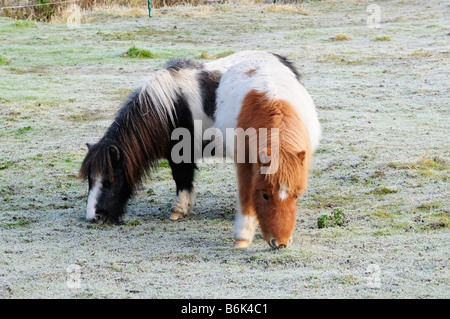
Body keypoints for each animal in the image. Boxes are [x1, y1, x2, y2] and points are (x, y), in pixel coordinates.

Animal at [79, 51, 300, 224]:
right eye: (90, 179)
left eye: (110, 180)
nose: (93, 217)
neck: (170, 108)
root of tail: (285, 64)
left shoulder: (181, 152)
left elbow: (182, 178)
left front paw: (179, 210)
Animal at [214, 57, 320, 249]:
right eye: (265, 195)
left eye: (296, 196)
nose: (281, 243)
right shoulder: (245, 166)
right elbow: (246, 197)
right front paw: (242, 237)